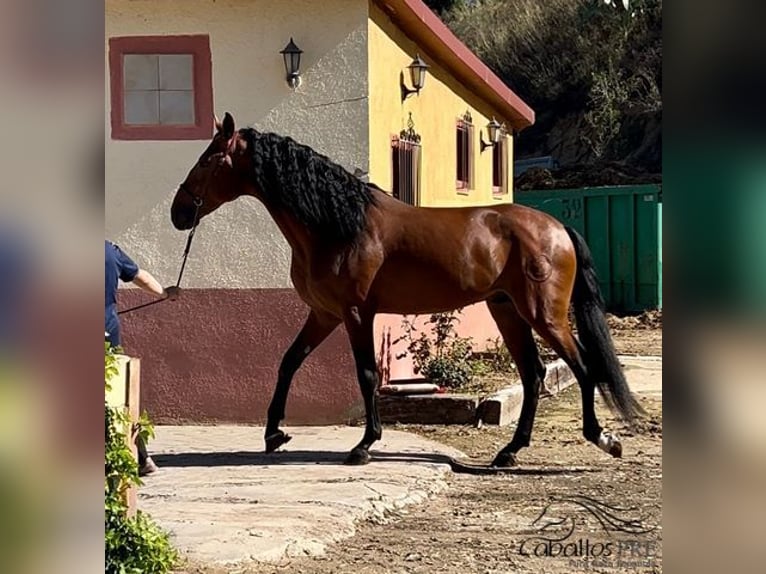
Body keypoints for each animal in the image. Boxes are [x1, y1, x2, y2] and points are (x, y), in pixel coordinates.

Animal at [171, 112, 644, 468]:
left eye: (208, 160)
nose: (179, 213)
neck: (338, 224)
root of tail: (557, 227)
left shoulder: (356, 313)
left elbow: (365, 374)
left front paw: (364, 445)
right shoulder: (324, 314)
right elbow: (288, 363)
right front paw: (274, 434)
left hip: (543, 314)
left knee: (582, 367)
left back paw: (604, 438)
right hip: (507, 310)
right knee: (534, 374)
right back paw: (509, 452)